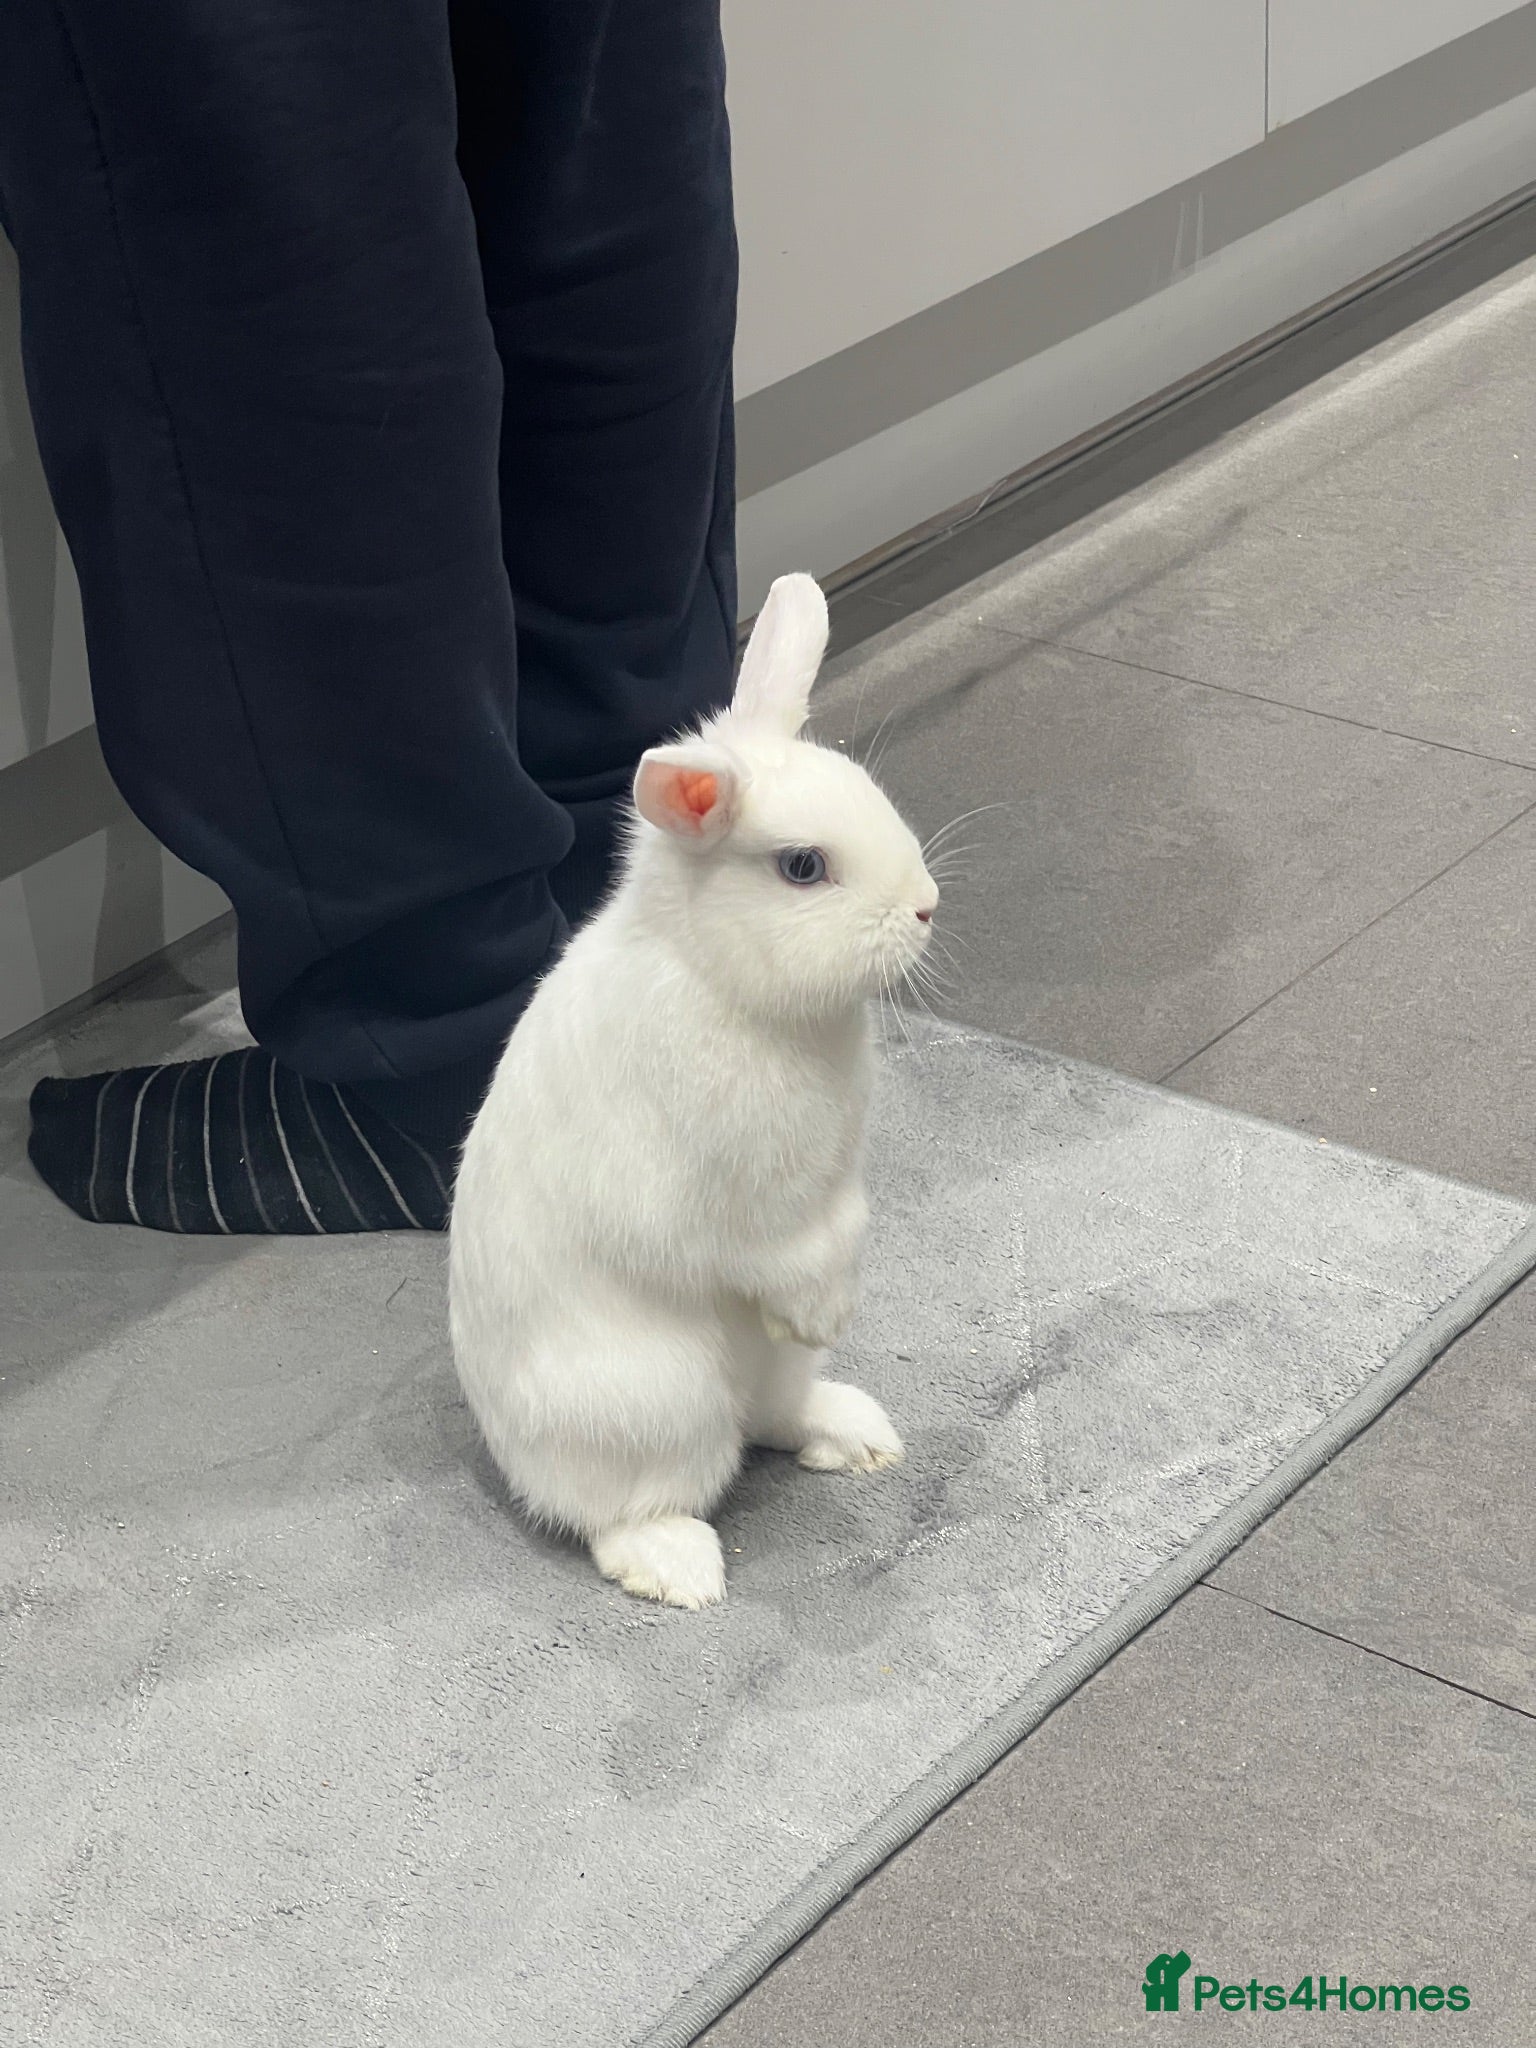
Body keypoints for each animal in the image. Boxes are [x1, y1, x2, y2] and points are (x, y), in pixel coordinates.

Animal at [448, 572, 938, 1609]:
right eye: (803, 867)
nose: (926, 907)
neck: (723, 983)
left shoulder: (837, 1189)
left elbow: (844, 1233)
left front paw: (835, 1313)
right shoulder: (734, 1205)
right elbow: (768, 1253)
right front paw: (820, 1309)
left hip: (754, 1384)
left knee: (774, 1420)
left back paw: (857, 1435)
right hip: (655, 1405)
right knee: (621, 1510)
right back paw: (681, 1569)